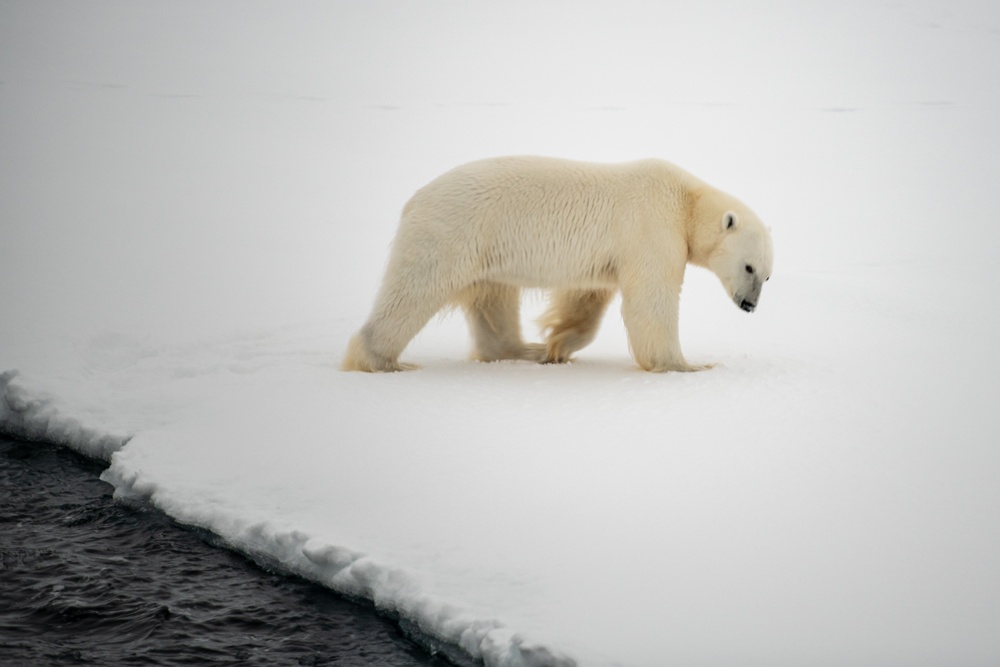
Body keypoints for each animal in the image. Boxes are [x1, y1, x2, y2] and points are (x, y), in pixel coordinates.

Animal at [344, 158, 772, 376]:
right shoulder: (651, 227)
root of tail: (414, 199)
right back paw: (381, 360)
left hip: (484, 249)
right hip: (451, 233)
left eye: (767, 275)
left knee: (493, 299)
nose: (750, 306)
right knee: (414, 290)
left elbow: (587, 298)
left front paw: (557, 344)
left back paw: (526, 351)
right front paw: (687, 365)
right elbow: (652, 300)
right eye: (749, 267)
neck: (686, 201)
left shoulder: (610, 254)